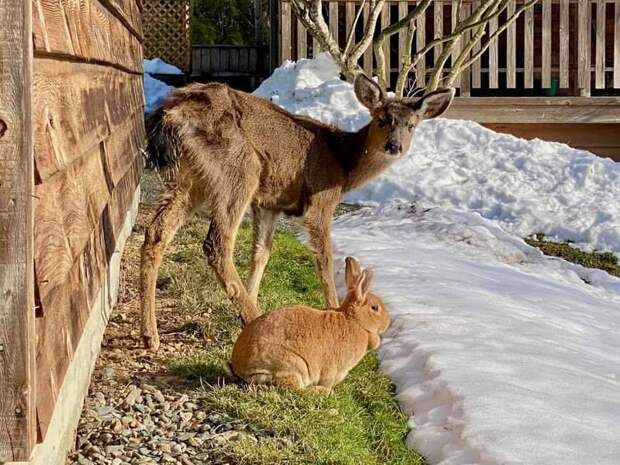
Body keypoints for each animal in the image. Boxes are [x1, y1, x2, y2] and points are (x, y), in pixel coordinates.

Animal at [142, 72, 456, 350]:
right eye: (381, 120)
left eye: (411, 125)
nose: (394, 145)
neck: (342, 163)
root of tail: (171, 112)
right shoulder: (320, 199)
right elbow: (325, 258)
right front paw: (336, 311)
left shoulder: (268, 204)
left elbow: (262, 252)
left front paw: (246, 310)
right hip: (239, 167)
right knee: (216, 243)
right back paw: (250, 317)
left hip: (188, 177)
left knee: (157, 232)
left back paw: (151, 336)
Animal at [230, 256, 390, 390]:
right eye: (375, 308)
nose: (388, 323)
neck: (355, 321)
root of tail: (240, 368)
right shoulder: (331, 370)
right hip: (293, 364)